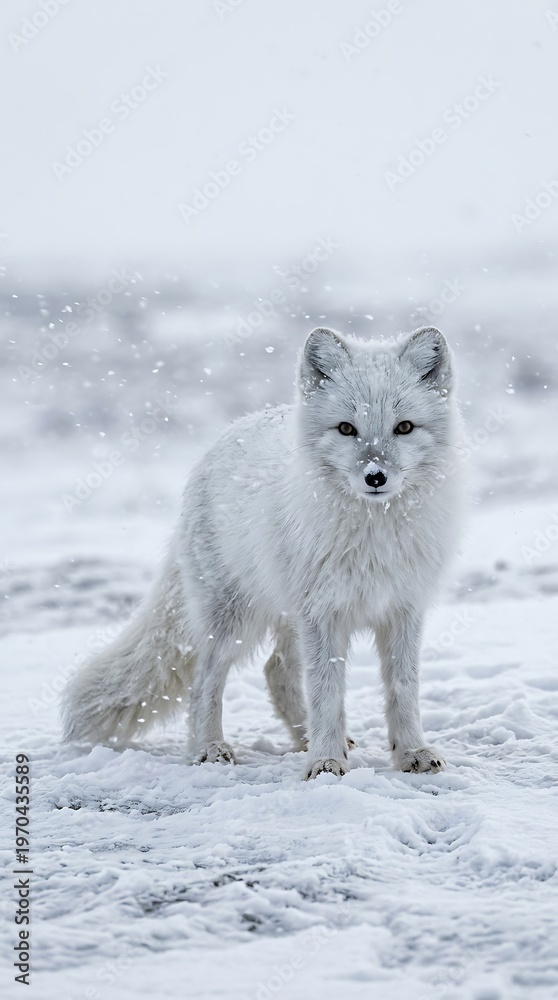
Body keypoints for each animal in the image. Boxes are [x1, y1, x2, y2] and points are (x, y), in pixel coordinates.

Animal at [62, 325, 463, 779]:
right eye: (346, 429)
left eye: (404, 427)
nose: (374, 476)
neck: (373, 535)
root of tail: (221, 441)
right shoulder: (323, 614)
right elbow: (327, 693)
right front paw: (325, 762)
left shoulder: (403, 610)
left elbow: (403, 688)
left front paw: (411, 752)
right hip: (234, 619)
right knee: (204, 683)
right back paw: (211, 748)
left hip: (286, 616)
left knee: (277, 671)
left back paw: (304, 738)